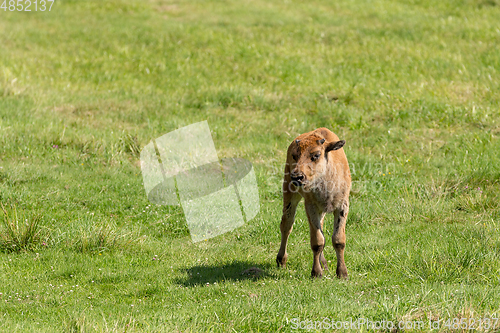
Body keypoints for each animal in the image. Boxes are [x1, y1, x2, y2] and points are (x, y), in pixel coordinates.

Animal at [278, 127, 352, 278]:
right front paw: (316, 273)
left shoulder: (342, 206)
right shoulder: (311, 206)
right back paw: (281, 261)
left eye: (316, 155)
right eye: (295, 155)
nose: (297, 176)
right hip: (289, 193)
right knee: (286, 225)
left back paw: (324, 264)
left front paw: (342, 274)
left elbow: (338, 240)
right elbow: (317, 241)